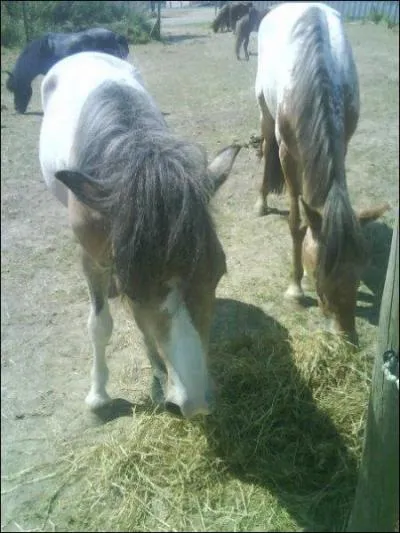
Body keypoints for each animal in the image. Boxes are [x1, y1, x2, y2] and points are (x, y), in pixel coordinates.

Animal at [39, 51, 241, 416]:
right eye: (133, 291)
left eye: (219, 272)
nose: (194, 403)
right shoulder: (92, 259)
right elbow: (100, 326)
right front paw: (99, 396)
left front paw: (160, 379)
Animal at [255, 2, 390, 342]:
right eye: (320, 273)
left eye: (360, 269)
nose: (346, 336)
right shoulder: (287, 154)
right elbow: (296, 222)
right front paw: (295, 289)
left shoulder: (343, 141)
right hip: (264, 111)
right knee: (265, 143)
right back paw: (261, 202)